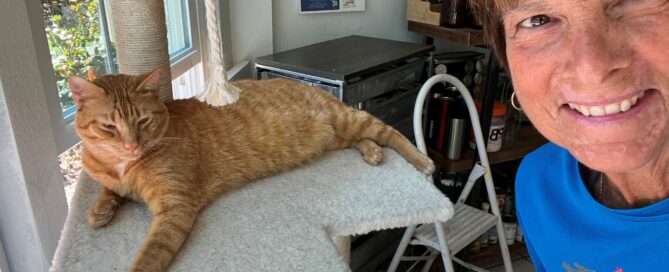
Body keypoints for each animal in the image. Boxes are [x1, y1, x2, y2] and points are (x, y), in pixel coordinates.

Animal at [68, 69, 434, 270]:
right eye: (109, 127)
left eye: (142, 121)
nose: (131, 145)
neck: (124, 166)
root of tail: (312, 86)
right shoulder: (111, 179)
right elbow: (108, 190)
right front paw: (100, 210)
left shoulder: (175, 206)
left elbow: (151, 254)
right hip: (335, 137)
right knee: (362, 139)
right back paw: (372, 152)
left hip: (350, 120)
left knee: (389, 132)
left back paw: (420, 160)